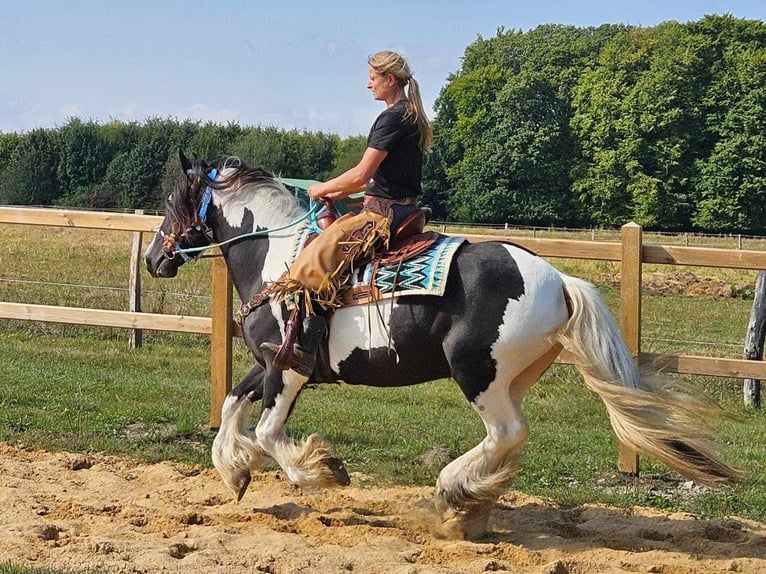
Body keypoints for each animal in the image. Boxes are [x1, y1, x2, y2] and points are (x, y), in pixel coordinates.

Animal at [144, 153, 736, 540]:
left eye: (172, 201)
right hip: (510, 378)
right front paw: (234, 470)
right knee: (510, 440)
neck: (278, 258)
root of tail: (558, 280)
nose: (154, 258)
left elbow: (268, 431)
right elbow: (231, 406)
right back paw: (469, 507)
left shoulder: (289, 368)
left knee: (507, 433)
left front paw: (322, 470)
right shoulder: (269, 362)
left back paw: (453, 494)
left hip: (477, 374)